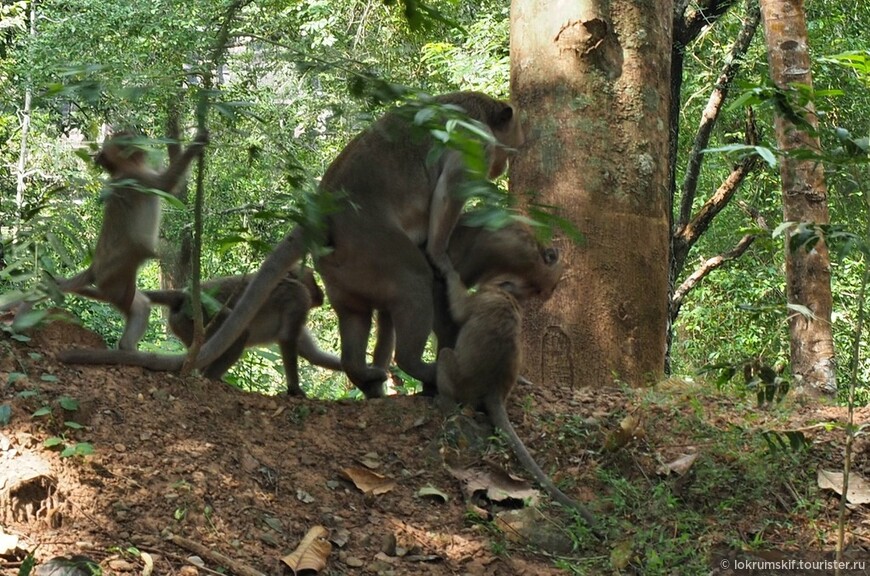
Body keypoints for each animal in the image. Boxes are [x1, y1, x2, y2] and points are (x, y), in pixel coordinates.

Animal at [42, 128, 208, 348]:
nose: (141, 140)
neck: (123, 168)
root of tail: (94, 267)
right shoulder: (138, 178)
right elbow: (166, 184)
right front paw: (197, 142)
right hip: (114, 277)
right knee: (131, 276)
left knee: (140, 307)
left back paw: (127, 346)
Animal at [59, 266, 340, 396]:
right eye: (314, 279)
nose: (321, 293)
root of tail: (183, 295)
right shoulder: (298, 298)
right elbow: (287, 339)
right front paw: (295, 390)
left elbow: (313, 355)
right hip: (197, 319)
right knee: (236, 336)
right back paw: (210, 377)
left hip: (183, 325)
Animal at [436, 270, 600, 532]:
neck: (507, 296)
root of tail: (493, 390)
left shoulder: (484, 298)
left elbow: (460, 310)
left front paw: (448, 268)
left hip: (460, 379)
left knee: (445, 357)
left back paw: (445, 402)